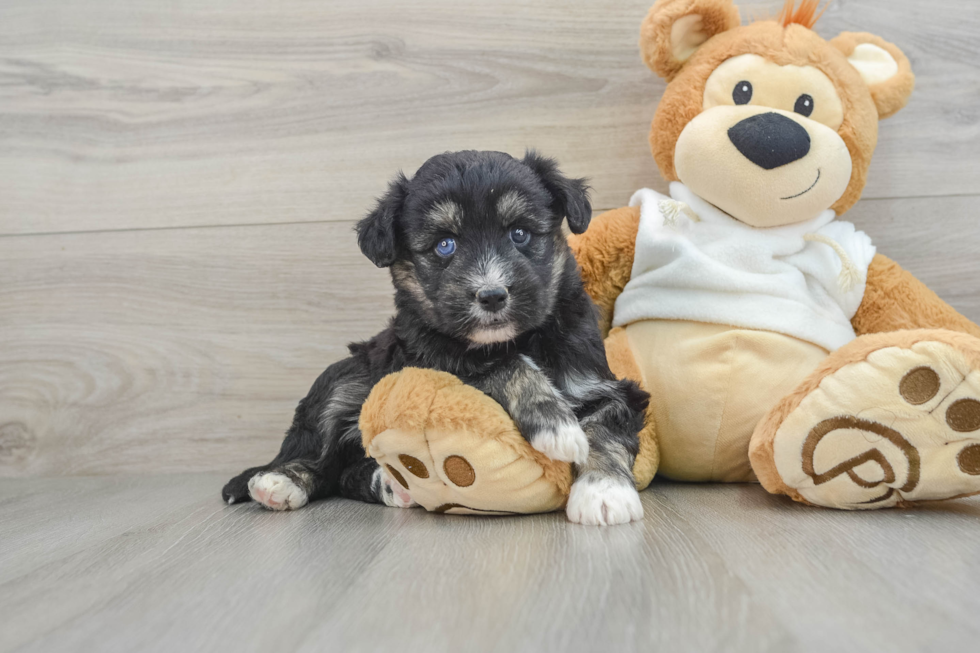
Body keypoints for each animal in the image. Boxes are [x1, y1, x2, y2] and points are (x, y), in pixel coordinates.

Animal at [223, 149, 652, 524]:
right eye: (445, 244)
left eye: (519, 234)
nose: (492, 295)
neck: (517, 338)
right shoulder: (433, 360)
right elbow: (502, 365)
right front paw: (556, 425)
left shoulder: (607, 386)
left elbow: (606, 431)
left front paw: (603, 492)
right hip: (345, 376)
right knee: (319, 452)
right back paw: (280, 481)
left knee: (345, 472)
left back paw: (391, 486)